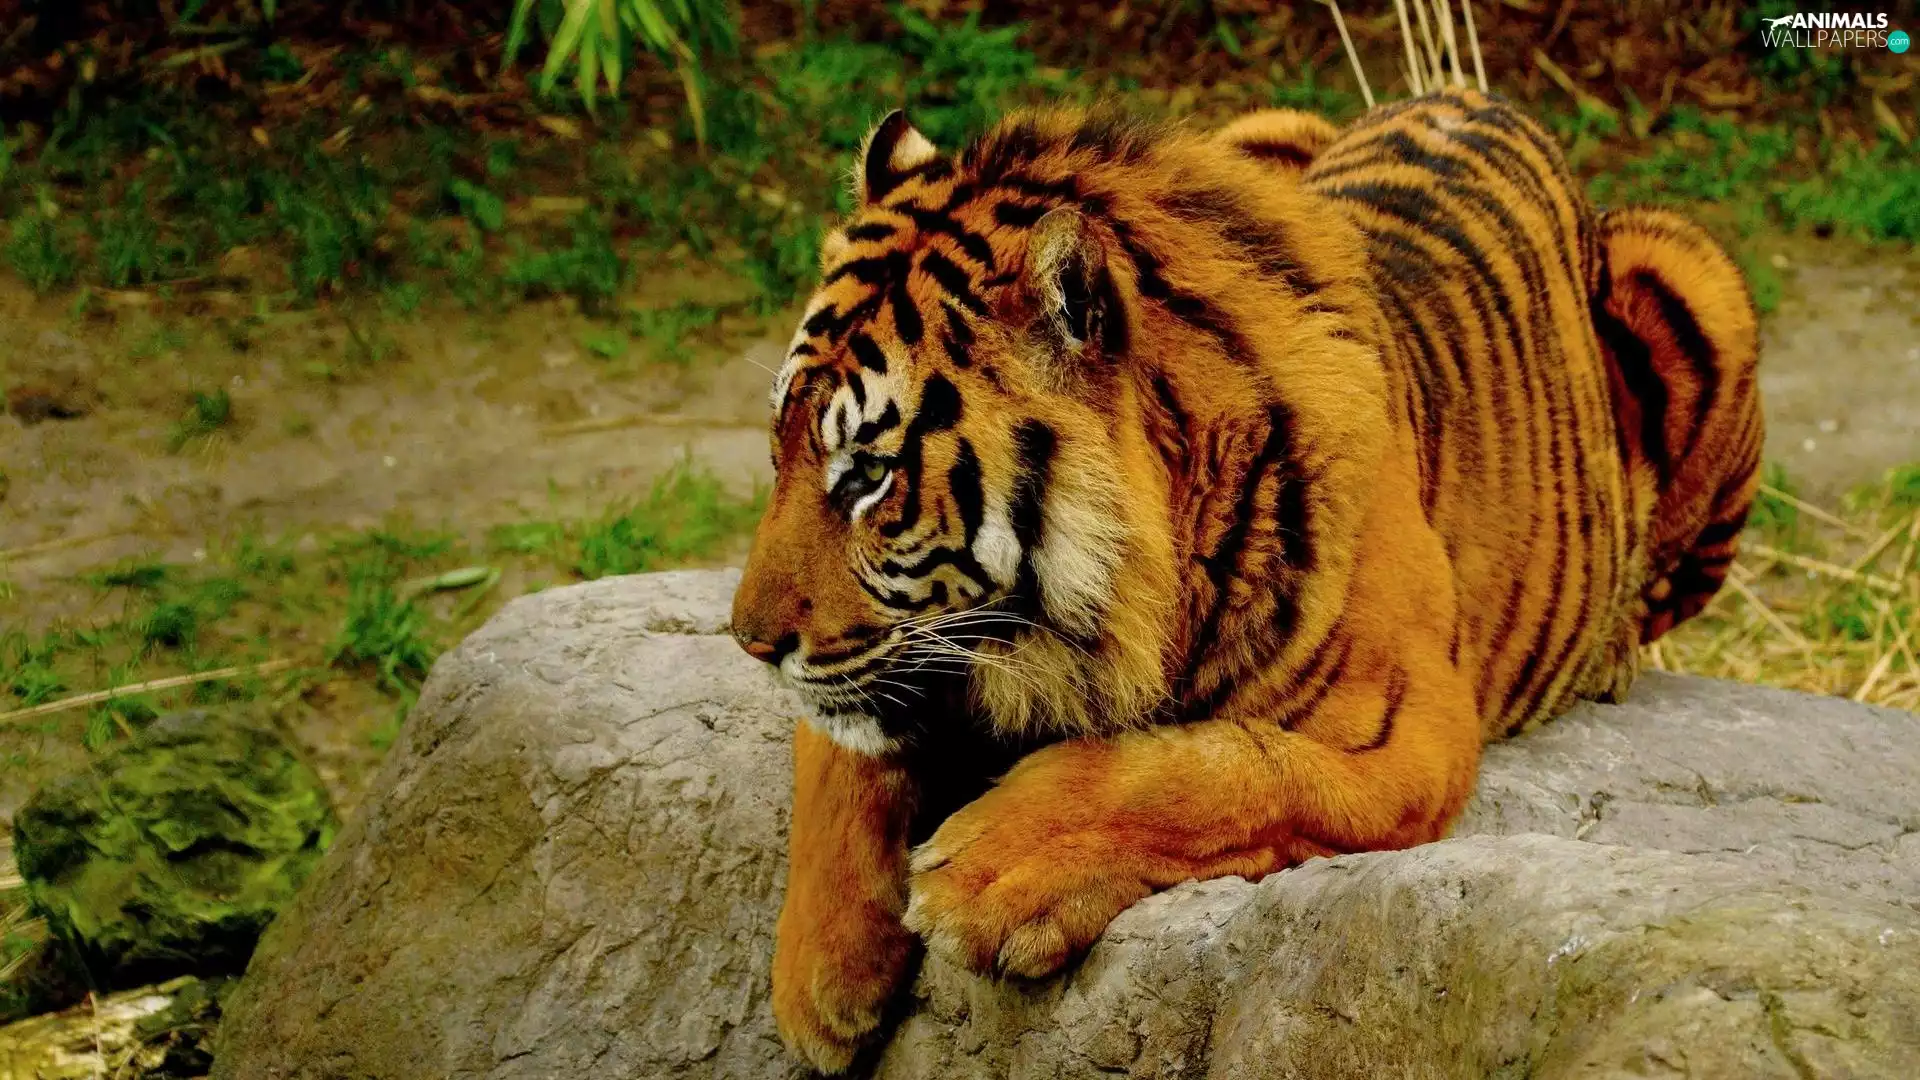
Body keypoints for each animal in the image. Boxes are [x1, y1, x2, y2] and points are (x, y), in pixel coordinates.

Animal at [729, 89, 1762, 1072]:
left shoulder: (1412, 733)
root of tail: (1477, 98)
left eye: (869, 474)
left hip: (1699, 277)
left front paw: (988, 869)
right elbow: (838, 751)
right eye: (780, 449)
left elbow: (1217, 768)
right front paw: (817, 980)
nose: (747, 641)